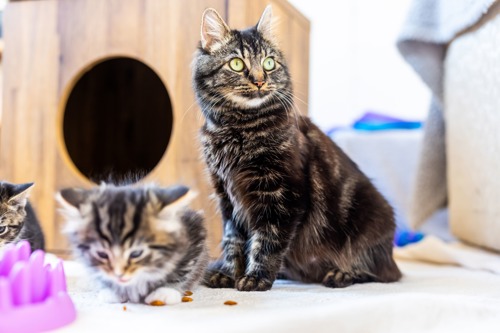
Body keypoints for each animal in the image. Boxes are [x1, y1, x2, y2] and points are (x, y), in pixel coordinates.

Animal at [57, 184, 208, 304]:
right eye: (102, 254)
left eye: (136, 253)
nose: (119, 275)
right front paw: (112, 290)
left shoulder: (195, 234)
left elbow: (183, 270)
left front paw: (166, 291)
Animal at [191, 5, 402, 290]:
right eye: (237, 64)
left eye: (269, 63)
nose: (260, 80)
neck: (239, 130)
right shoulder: (228, 200)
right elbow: (232, 242)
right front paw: (227, 273)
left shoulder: (282, 196)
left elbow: (267, 241)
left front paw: (256, 278)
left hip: (371, 221)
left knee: (377, 272)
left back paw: (340, 274)